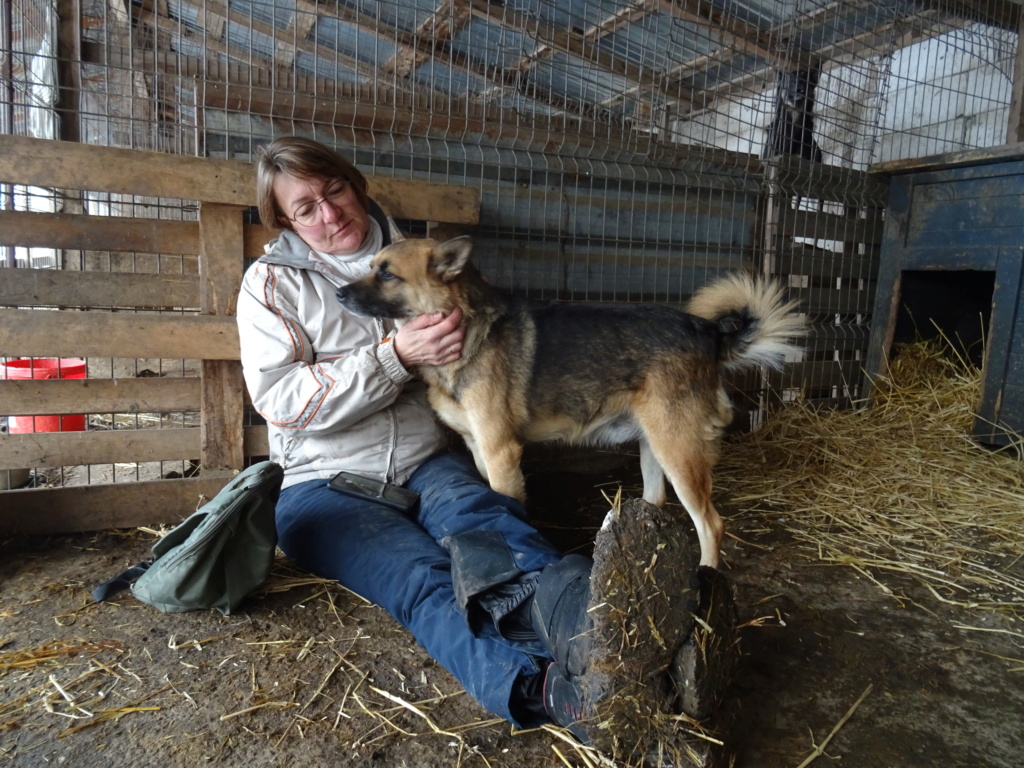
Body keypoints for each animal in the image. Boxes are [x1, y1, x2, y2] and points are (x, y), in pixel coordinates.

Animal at [339, 237, 802, 569]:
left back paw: (706, 577)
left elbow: (509, 504)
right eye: (372, 267)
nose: (341, 294)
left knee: (712, 524)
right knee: (657, 503)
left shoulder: (501, 452)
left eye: (387, 275)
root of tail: (708, 331)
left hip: (679, 450)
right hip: (654, 446)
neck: (468, 330)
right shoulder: (479, 450)